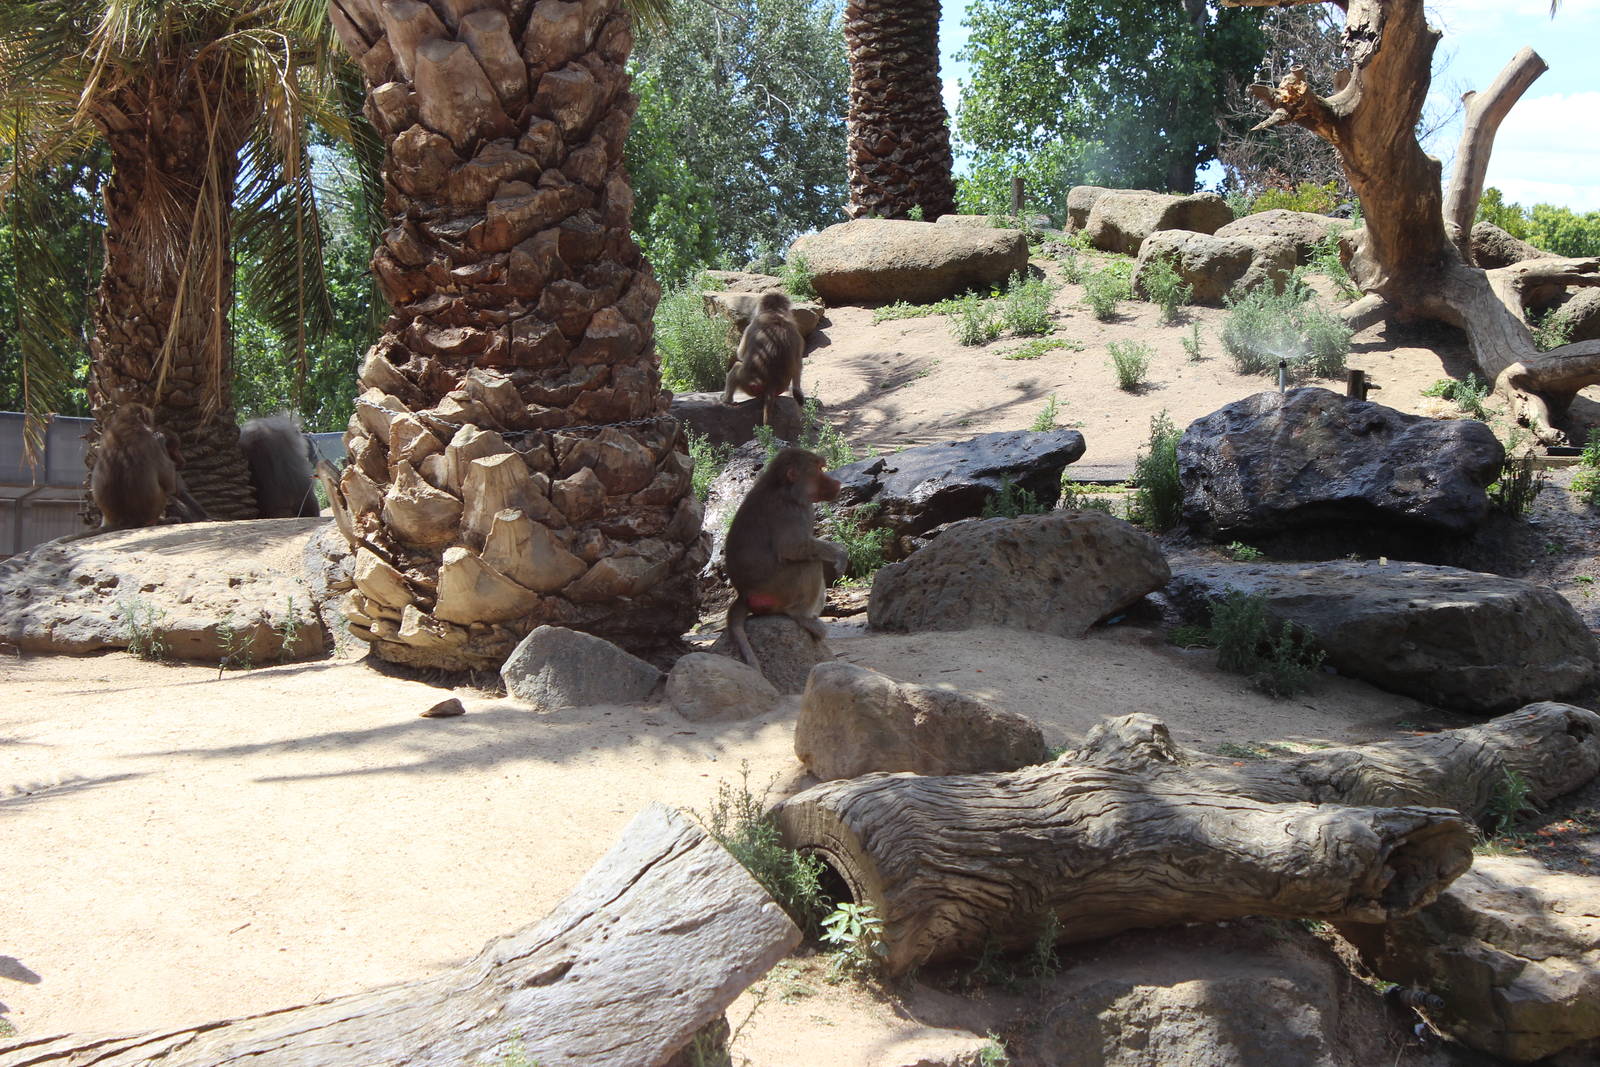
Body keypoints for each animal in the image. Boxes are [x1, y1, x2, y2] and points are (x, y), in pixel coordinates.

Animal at [723, 291, 805, 426]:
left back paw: (727, 401)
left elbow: (740, 354)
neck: (775, 313)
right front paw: (798, 393)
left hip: (749, 384)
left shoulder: (752, 325)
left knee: (736, 367)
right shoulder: (797, 332)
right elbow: (798, 364)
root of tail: (771, 385)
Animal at [723, 447, 850, 669]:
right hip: (776, 590)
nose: (836, 482)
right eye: (818, 470)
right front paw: (840, 554)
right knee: (810, 564)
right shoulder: (791, 511)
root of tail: (744, 594)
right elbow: (793, 548)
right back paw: (803, 617)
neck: (785, 488)